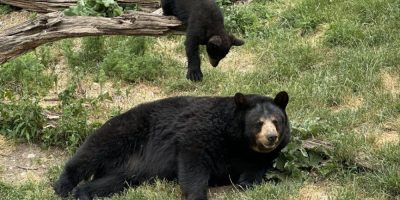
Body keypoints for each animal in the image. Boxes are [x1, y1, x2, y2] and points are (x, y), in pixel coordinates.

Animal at [54, 91, 290, 199]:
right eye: (258, 123)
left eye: (276, 121)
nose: (271, 137)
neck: (239, 142)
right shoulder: (203, 131)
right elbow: (193, 161)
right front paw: (197, 195)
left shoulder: (260, 157)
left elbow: (253, 173)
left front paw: (243, 184)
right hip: (125, 130)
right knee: (92, 151)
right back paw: (63, 186)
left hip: (128, 170)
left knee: (114, 181)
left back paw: (83, 192)